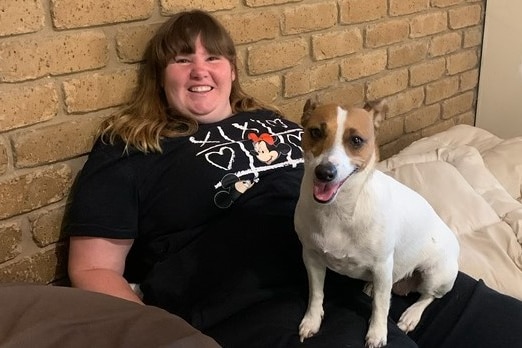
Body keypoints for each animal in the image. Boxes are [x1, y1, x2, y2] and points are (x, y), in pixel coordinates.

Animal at [294, 99, 458, 346]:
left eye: (356, 140)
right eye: (315, 132)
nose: (324, 172)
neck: (339, 209)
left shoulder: (382, 265)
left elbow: (380, 306)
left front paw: (377, 333)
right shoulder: (311, 258)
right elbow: (316, 293)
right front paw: (312, 320)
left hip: (436, 275)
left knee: (428, 296)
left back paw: (411, 315)